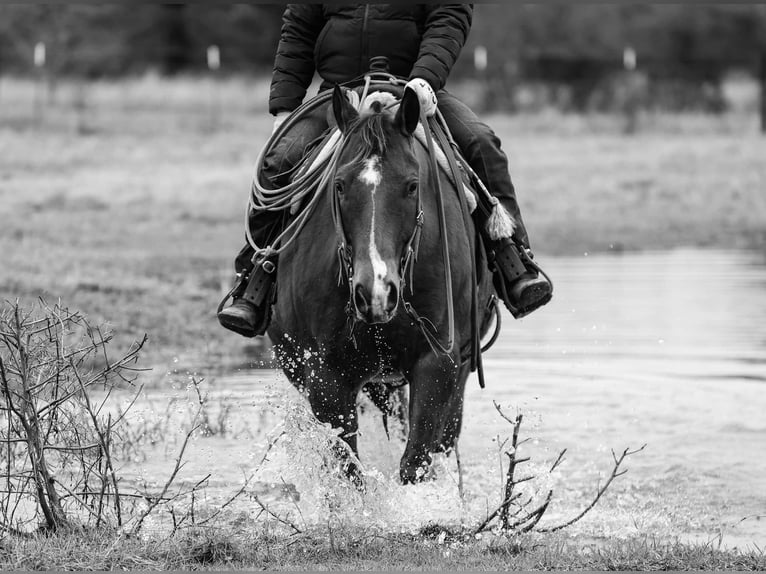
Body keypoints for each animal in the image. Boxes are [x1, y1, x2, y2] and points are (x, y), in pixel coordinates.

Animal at [268, 83, 498, 484]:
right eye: (339, 185)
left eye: (412, 186)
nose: (376, 293)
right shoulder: (326, 376)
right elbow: (349, 469)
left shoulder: (439, 364)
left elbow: (415, 461)